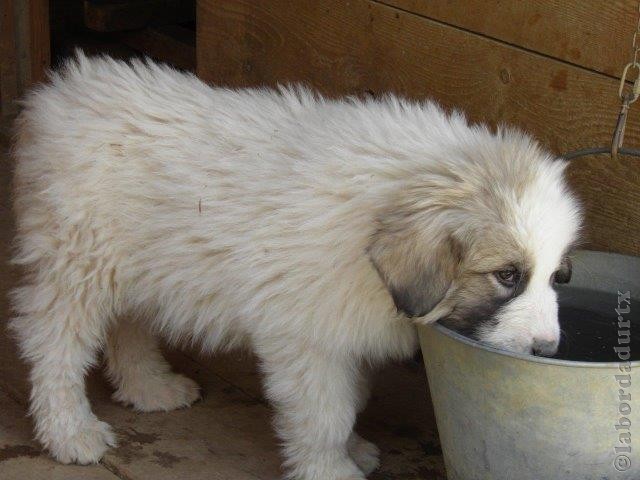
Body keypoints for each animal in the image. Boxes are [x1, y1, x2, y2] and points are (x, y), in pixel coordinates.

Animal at [10, 53, 580, 480]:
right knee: (54, 348)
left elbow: (351, 399)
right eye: (507, 275)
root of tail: (61, 92)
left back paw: (150, 387)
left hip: (135, 266)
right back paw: (70, 431)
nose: (547, 350)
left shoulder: (343, 331)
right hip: (78, 264)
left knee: (126, 326)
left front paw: (353, 450)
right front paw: (333, 469)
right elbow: (325, 413)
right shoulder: (308, 339)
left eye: (558, 276)